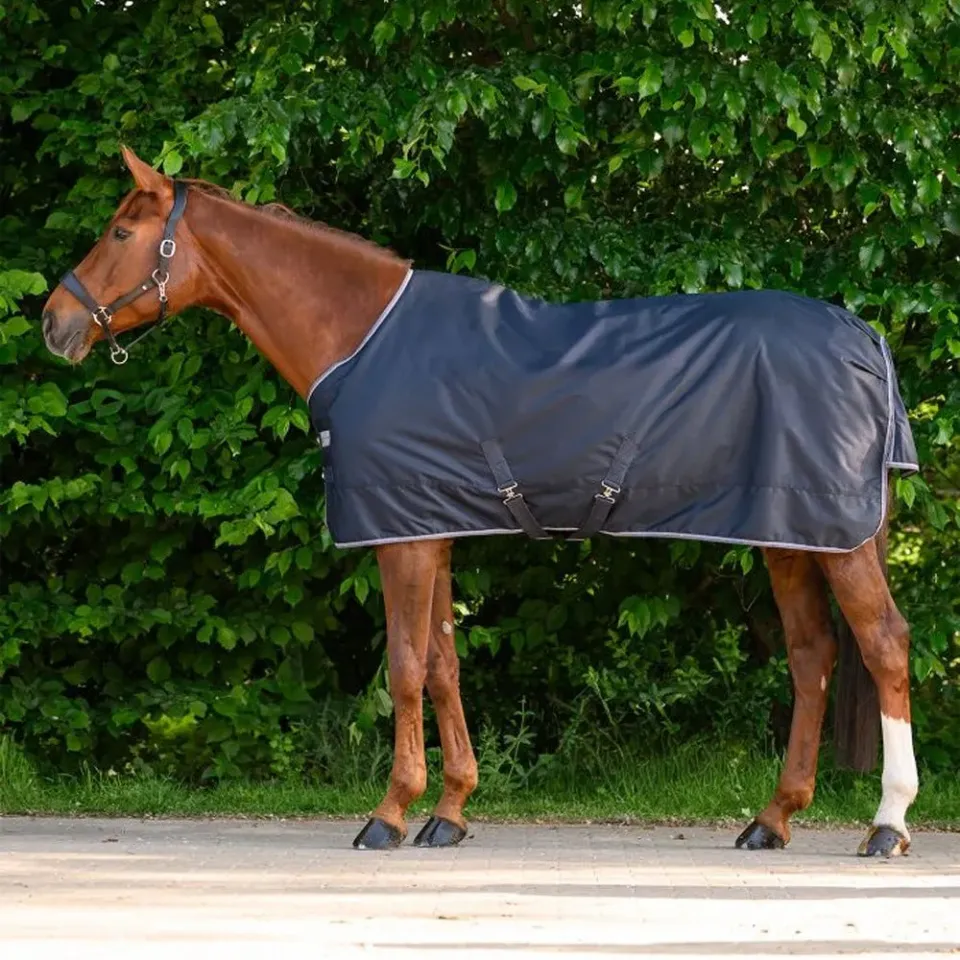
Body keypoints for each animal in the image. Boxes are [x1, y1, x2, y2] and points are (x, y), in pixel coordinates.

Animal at [41, 146, 920, 857]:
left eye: (120, 233)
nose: (53, 322)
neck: (361, 338)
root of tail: (866, 339)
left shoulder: (400, 539)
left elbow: (403, 668)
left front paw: (389, 813)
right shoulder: (431, 529)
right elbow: (442, 665)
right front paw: (450, 811)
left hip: (834, 539)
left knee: (883, 645)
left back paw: (887, 824)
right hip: (795, 536)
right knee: (812, 656)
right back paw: (772, 820)